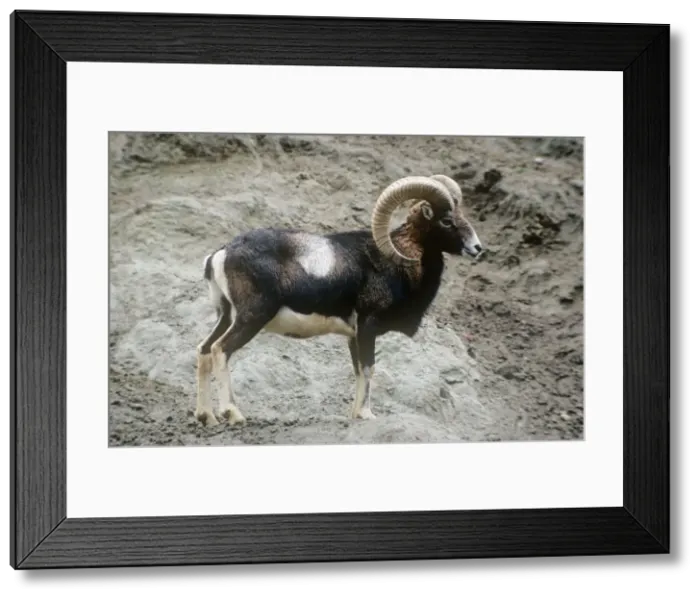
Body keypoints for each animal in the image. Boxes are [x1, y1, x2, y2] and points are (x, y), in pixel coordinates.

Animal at [194, 174, 484, 427]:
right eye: (446, 221)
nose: (477, 248)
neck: (397, 263)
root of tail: (220, 255)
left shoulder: (354, 337)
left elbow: (358, 371)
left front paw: (355, 415)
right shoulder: (367, 328)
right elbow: (369, 368)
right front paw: (367, 415)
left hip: (227, 316)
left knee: (204, 349)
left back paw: (207, 417)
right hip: (252, 318)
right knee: (220, 349)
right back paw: (233, 414)